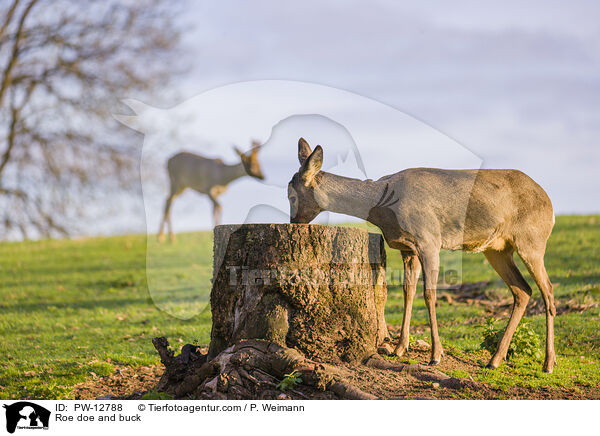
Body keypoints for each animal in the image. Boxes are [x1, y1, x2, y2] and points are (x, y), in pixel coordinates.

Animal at [288, 138, 556, 372]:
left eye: (291, 195)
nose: (293, 223)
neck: (384, 206)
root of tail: (550, 204)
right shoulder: (407, 248)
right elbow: (408, 291)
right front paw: (399, 348)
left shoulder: (429, 239)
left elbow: (429, 294)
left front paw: (436, 355)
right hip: (496, 249)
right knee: (523, 290)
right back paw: (495, 360)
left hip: (532, 241)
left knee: (548, 290)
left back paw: (548, 363)